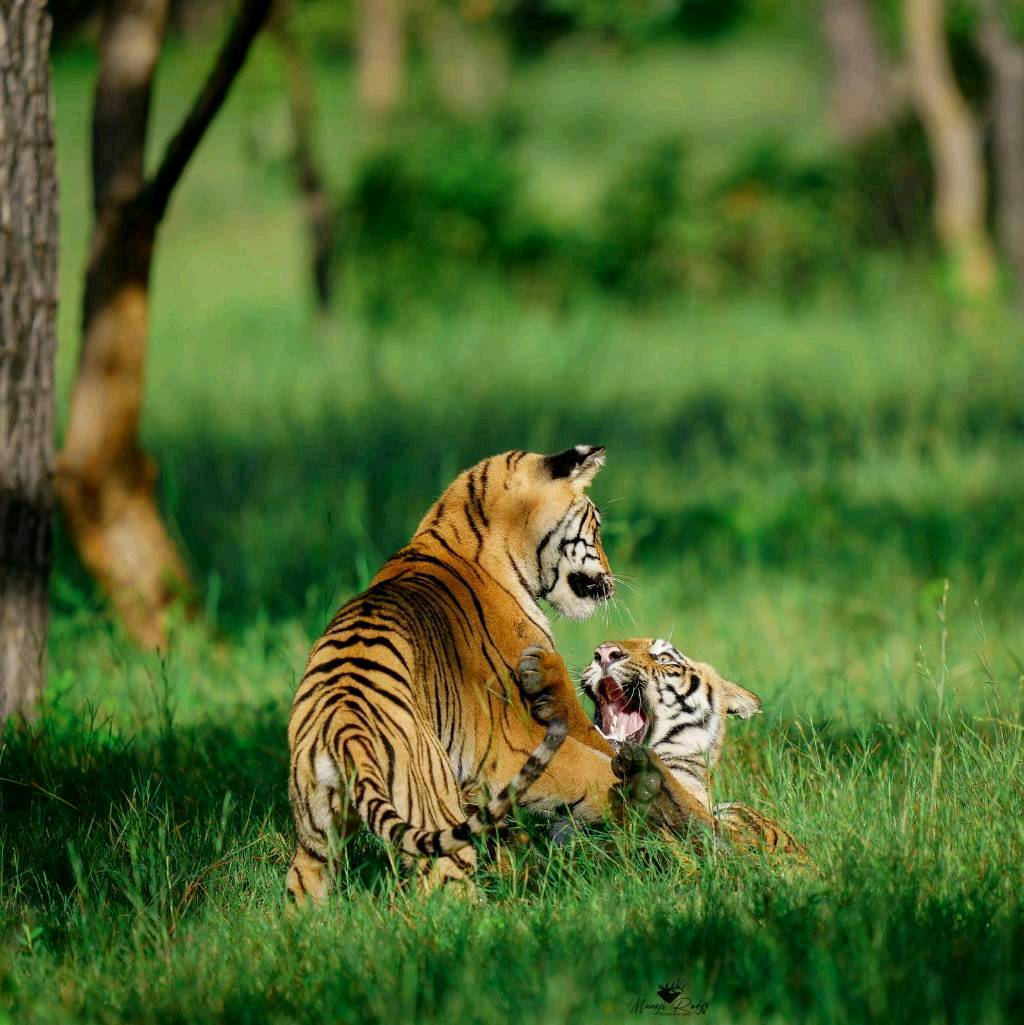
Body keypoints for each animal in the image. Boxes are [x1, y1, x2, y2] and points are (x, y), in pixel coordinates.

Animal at [286, 446, 720, 902]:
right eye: (596, 526)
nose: (612, 582)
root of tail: (344, 730)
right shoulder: (513, 742)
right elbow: (597, 763)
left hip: (316, 838)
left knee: (304, 880)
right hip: (433, 812)